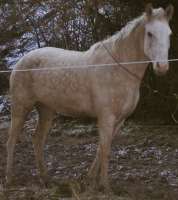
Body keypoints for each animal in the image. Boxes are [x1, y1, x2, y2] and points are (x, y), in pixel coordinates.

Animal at [6, 3, 174, 190]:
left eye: (169, 34)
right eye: (150, 33)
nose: (162, 67)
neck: (118, 67)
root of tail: (21, 61)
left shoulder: (119, 120)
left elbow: (101, 149)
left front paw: (89, 180)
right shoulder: (106, 117)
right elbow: (106, 150)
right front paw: (105, 187)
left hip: (46, 110)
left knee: (38, 140)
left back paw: (46, 179)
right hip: (21, 107)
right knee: (12, 140)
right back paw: (9, 179)